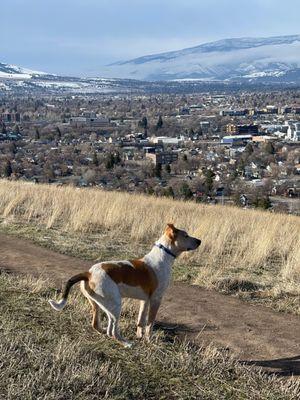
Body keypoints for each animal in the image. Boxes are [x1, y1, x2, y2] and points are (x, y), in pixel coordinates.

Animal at [48, 223, 200, 348]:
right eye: (186, 235)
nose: (200, 241)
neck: (163, 254)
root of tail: (89, 273)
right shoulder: (156, 300)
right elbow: (150, 323)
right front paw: (149, 340)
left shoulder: (145, 300)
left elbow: (140, 321)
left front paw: (139, 336)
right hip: (115, 305)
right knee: (113, 331)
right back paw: (126, 343)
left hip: (100, 304)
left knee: (99, 325)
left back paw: (107, 332)